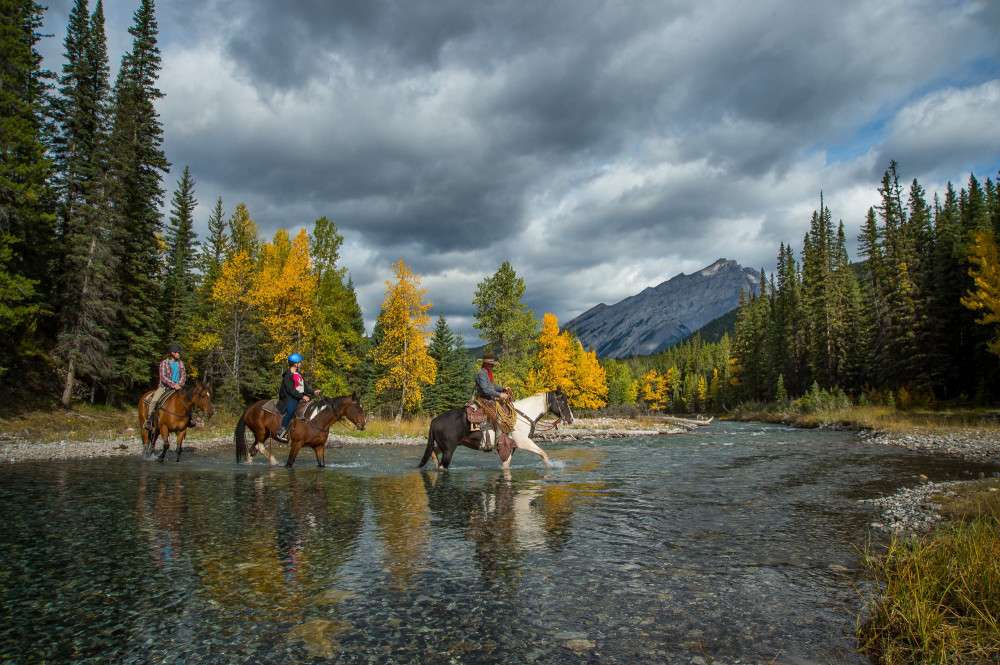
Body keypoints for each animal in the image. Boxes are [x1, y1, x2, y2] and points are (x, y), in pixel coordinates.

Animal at [234, 392, 368, 470]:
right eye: (356, 407)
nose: (363, 425)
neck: (315, 420)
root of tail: (248, 409)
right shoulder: (296, 444)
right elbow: (289, 463)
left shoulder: (319, 446)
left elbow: (321, 464)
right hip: (260, 432)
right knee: (260, 447)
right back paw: (273, 461)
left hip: (264, 434)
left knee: (253, 449)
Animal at [418, 392, 576, 470]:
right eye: (562, 400)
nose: (571, 418)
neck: (523, 415)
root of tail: (435, 420)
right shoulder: (523, 442)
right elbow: (543, 454)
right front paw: (550, 467)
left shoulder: (511, 447)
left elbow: (506, 465)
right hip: (449, 450)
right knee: (442, 465)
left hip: (444, 446)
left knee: (433, 453)